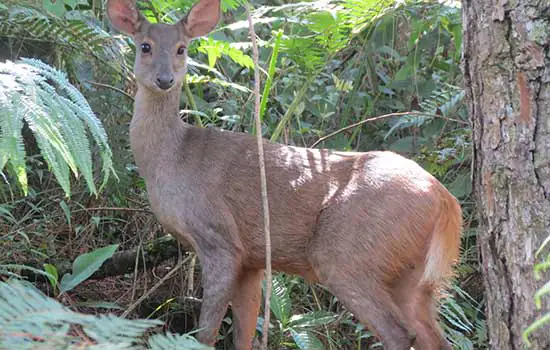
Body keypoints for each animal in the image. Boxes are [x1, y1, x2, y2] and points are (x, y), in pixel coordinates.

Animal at [106, 0, 462, 348]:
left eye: (182, 48)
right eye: (145, 46)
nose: (165, 79)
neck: (171, 159)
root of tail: (445, 200)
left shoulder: (220, 238)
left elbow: (206, 333)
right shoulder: (252, 258)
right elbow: (244, 333)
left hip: (349, 253)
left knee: (399, 334)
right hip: (411, 275)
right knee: (434, 337)